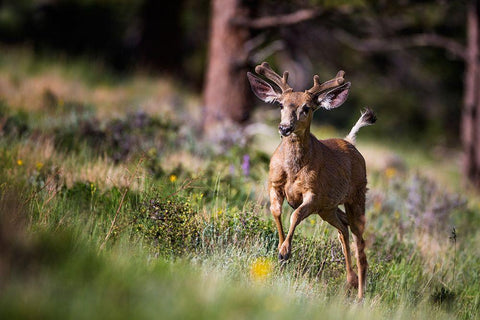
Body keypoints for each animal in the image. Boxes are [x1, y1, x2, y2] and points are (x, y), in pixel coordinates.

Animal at [248, 62, 376, 300]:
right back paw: (350, 280)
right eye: (280, 104)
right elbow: (276, 211)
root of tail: (350, 141)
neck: (293, 169)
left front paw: (285, 251)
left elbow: (295, 215)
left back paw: (360, 296)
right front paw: (281, 249)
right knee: (343, 228)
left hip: (356, 196)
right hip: (328, 209)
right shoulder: (274, 185)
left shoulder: (314, 194)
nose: (284, 128)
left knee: (360, 244)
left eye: (306, 108)